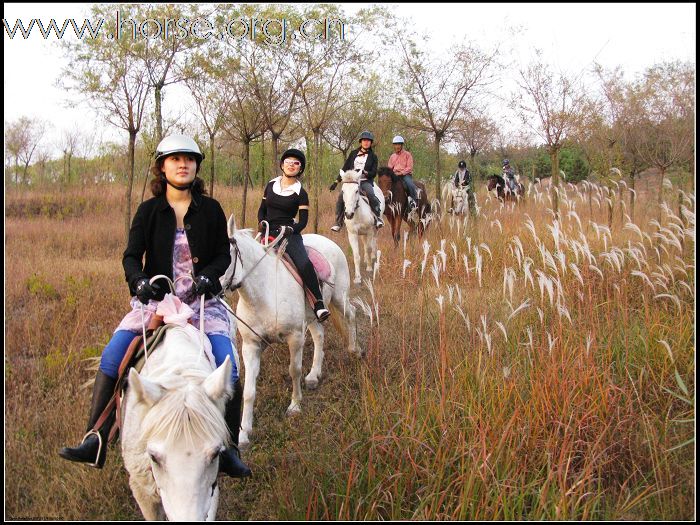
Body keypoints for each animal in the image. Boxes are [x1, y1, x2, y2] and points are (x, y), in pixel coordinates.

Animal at [220, 215, 364, 448]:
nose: (198, 285)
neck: (264, 291)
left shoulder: (295, 337)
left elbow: (294, 370)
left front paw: (295, 407)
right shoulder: (251, 345)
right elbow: (249, 390)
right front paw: (243, 434)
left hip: (339, 297)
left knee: (351, 314)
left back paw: (355, 350)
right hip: (312, 314)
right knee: (319, 335)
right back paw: (314, 375)